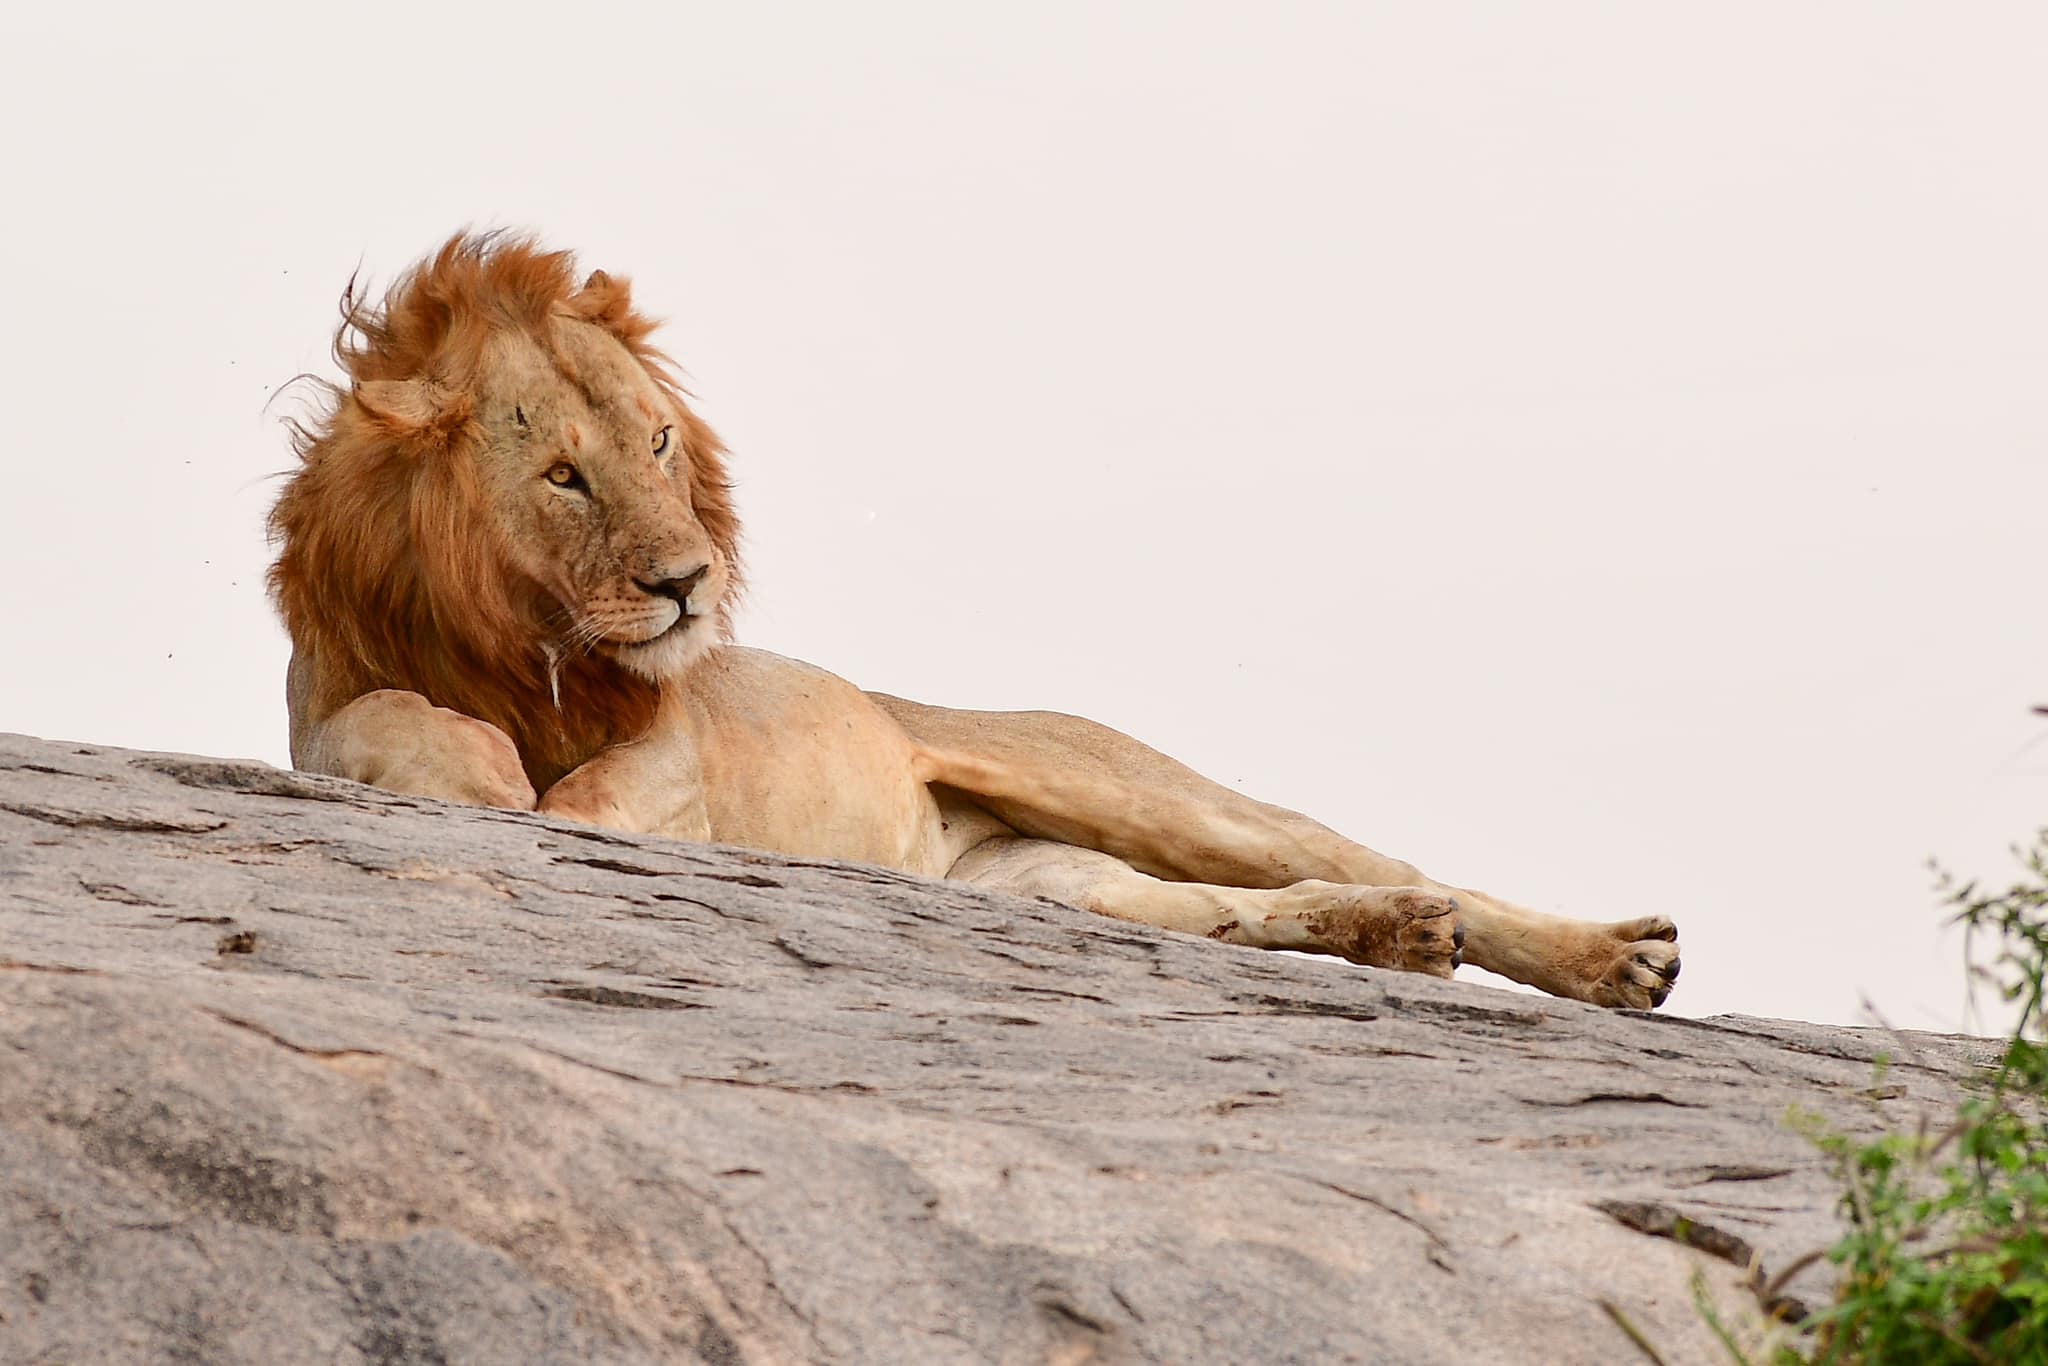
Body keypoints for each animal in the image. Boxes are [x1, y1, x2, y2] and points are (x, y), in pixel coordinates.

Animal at [269, 233, 1681, 1009]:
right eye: (564, 474)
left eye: (659, 442)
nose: (689, 583)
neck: (522, 640)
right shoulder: (327, 703)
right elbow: (387, 723)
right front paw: (476, 768)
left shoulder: (676, 741)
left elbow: (602, 795)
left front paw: (539, 796)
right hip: (1067, 885)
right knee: (1249, 911)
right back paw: (1393, 935)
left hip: (1130, 785)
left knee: (1364, 856)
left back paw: (1611, 961)